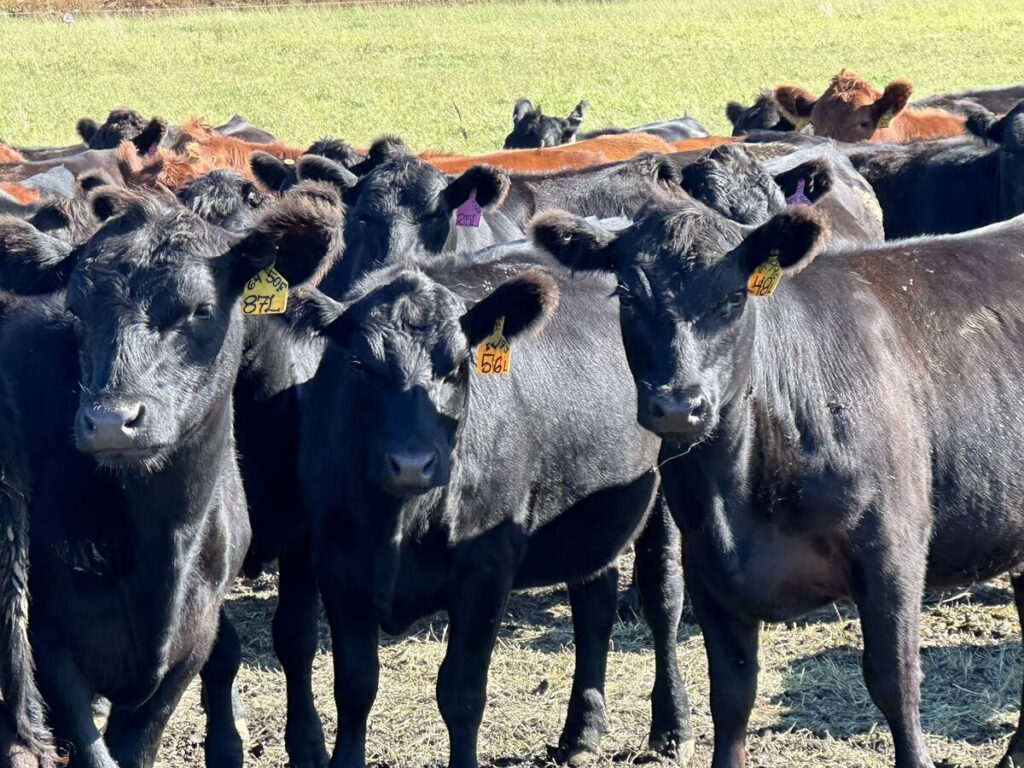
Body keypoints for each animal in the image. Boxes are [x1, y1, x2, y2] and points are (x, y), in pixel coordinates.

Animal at [272, 231, 694, 768]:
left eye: (456, 366)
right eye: (360, 366)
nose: (413, 463)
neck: (399, 523)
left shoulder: (487, 569)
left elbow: (462, 690)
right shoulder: (338, 565)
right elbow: (354, 686)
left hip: (671, 474)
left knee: (663, 597)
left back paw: (672, 728)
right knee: (593, 602)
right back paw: (581, 733)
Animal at [533, 195, 1024, 768]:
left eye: (734, 297)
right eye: (629, 296)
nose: (678, 405)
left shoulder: (893, 552)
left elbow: (894, 682)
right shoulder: (708, 569)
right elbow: (730, 694)